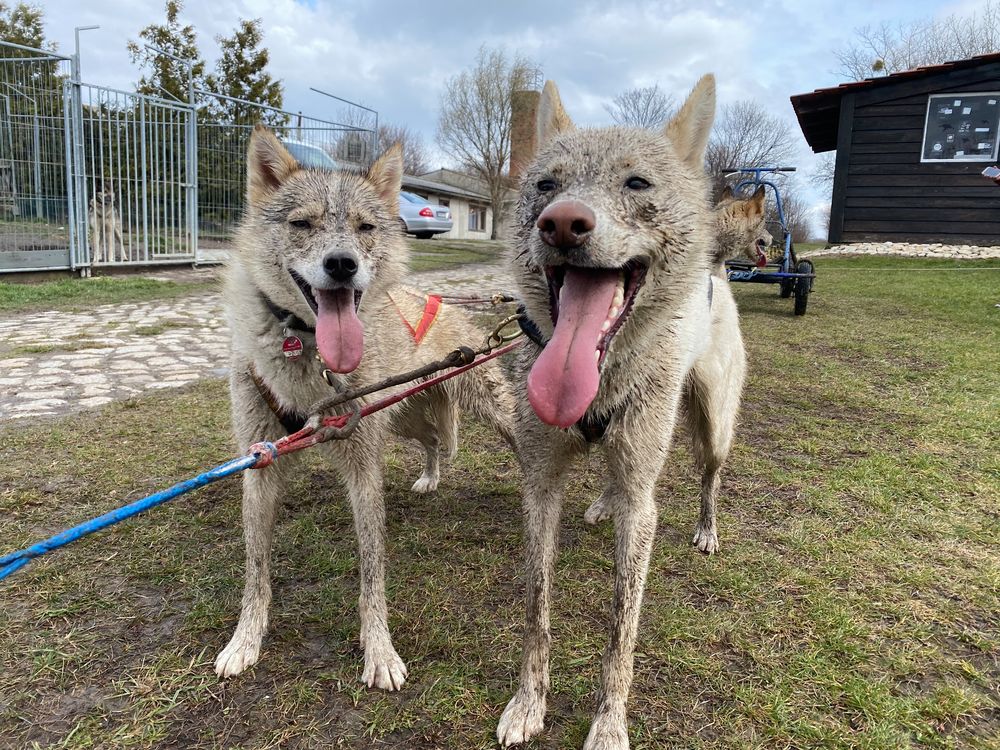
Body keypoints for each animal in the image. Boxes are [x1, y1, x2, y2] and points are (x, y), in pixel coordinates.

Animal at [218, 128, 516, 692]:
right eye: (302, 224)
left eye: (366, 227)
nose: (342, 264)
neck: (307, 354)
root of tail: (439, 300)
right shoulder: (260, 465)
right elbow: (254, 566)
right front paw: (245, 638)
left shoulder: (363, 468)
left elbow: (371, 567)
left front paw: (379, 649)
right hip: (404, 417)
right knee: (434, 442)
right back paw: (430, 477)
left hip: (483, 407)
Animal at [496, 78, 748, 750]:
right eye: (545, 185)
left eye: (637, 183)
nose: (562, 223)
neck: (599, 380)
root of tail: (717, 271)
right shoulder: (540, 487)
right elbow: (536, 610)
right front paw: (529, 701)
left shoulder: (643, 510)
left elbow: (621, 631)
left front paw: (609, 724)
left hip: (711, 426)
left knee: (710, 477)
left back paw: (707, 528)